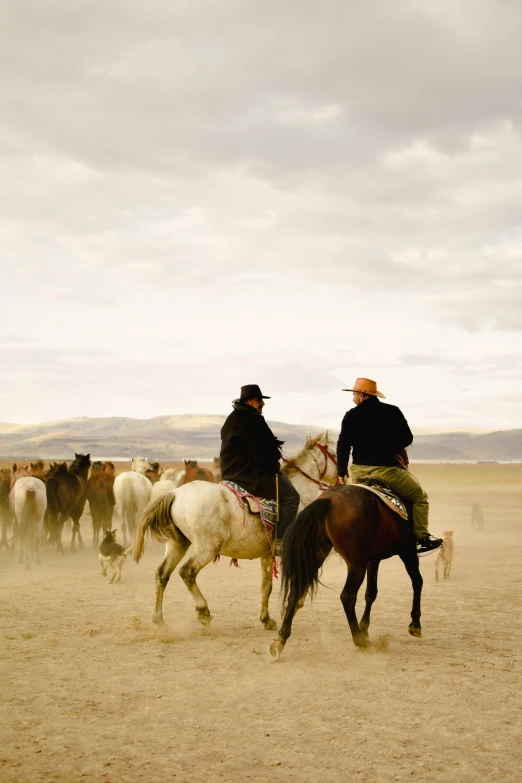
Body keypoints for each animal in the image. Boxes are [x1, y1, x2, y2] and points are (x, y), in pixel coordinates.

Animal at [133, 432, 338, 632]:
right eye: (335, 454)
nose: (340, 478)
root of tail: (175, 494)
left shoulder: (267, 555)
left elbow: (266, 587)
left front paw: (267, 619)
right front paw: (291, 608)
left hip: (178, 544)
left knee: (162, 574)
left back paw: (159, 621)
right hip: (206, 548)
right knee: (187, 572)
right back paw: (203, 611)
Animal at [268, 484, 422, 660]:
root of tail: (329, 500)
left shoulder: (373, 559)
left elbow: (371, 593)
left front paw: (365, 627)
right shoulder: (408, 551)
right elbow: (417, 582)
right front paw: (415, 624)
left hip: (319, 553)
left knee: (295, 592)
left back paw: (280, 640)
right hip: (356, 564)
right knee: (347, 597)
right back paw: (360, 641)